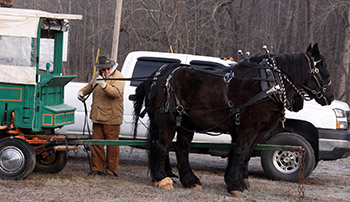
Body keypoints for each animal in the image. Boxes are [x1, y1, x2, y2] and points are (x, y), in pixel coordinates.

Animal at [133, 43, 334, 195]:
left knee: (181, 149)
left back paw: (190, 180)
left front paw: (239, 181)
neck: (269, 85)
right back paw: (163, 179)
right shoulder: (248, 127)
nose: (330, 97)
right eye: (322, 69)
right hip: (167, 120)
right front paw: (235, 185)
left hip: (185, 123)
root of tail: (160, 76)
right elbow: (240, 152)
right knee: (162, 145)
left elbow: (244, 154)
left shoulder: (258, 131)